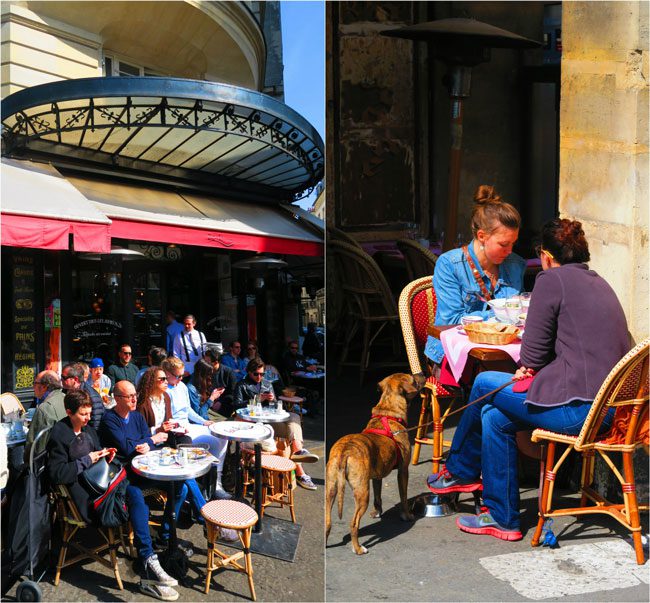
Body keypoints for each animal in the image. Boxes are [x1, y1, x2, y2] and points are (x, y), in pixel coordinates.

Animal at [324, 372, 426, 556]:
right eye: (413, 379)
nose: (422, 374)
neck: (388, 412)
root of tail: (345, 451)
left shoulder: (377, 476)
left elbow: (378, 496)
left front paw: (377, 511)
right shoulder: (403, 471)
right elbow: (404, 496)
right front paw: (407, 515)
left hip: (331, 490)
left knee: (328, 522)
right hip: (362, 492)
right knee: (354, 523)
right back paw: (358, 548)